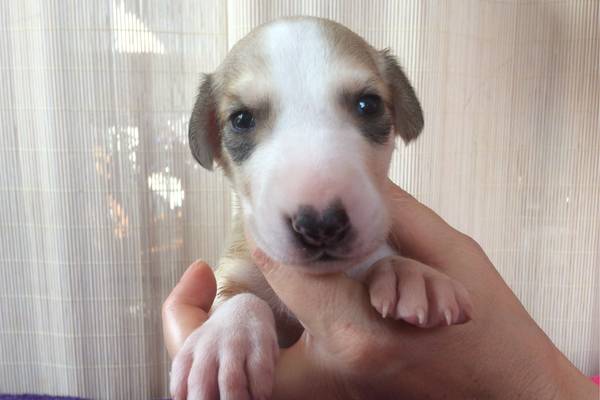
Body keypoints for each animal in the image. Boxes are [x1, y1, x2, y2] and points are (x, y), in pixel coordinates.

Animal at [170, 16, 472, 399]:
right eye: (240, 119)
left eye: (368, 105)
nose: (321, 225)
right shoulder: (237, 266)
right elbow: (238, 296)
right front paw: (225, 340)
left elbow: (383, 256)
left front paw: (410, 273)